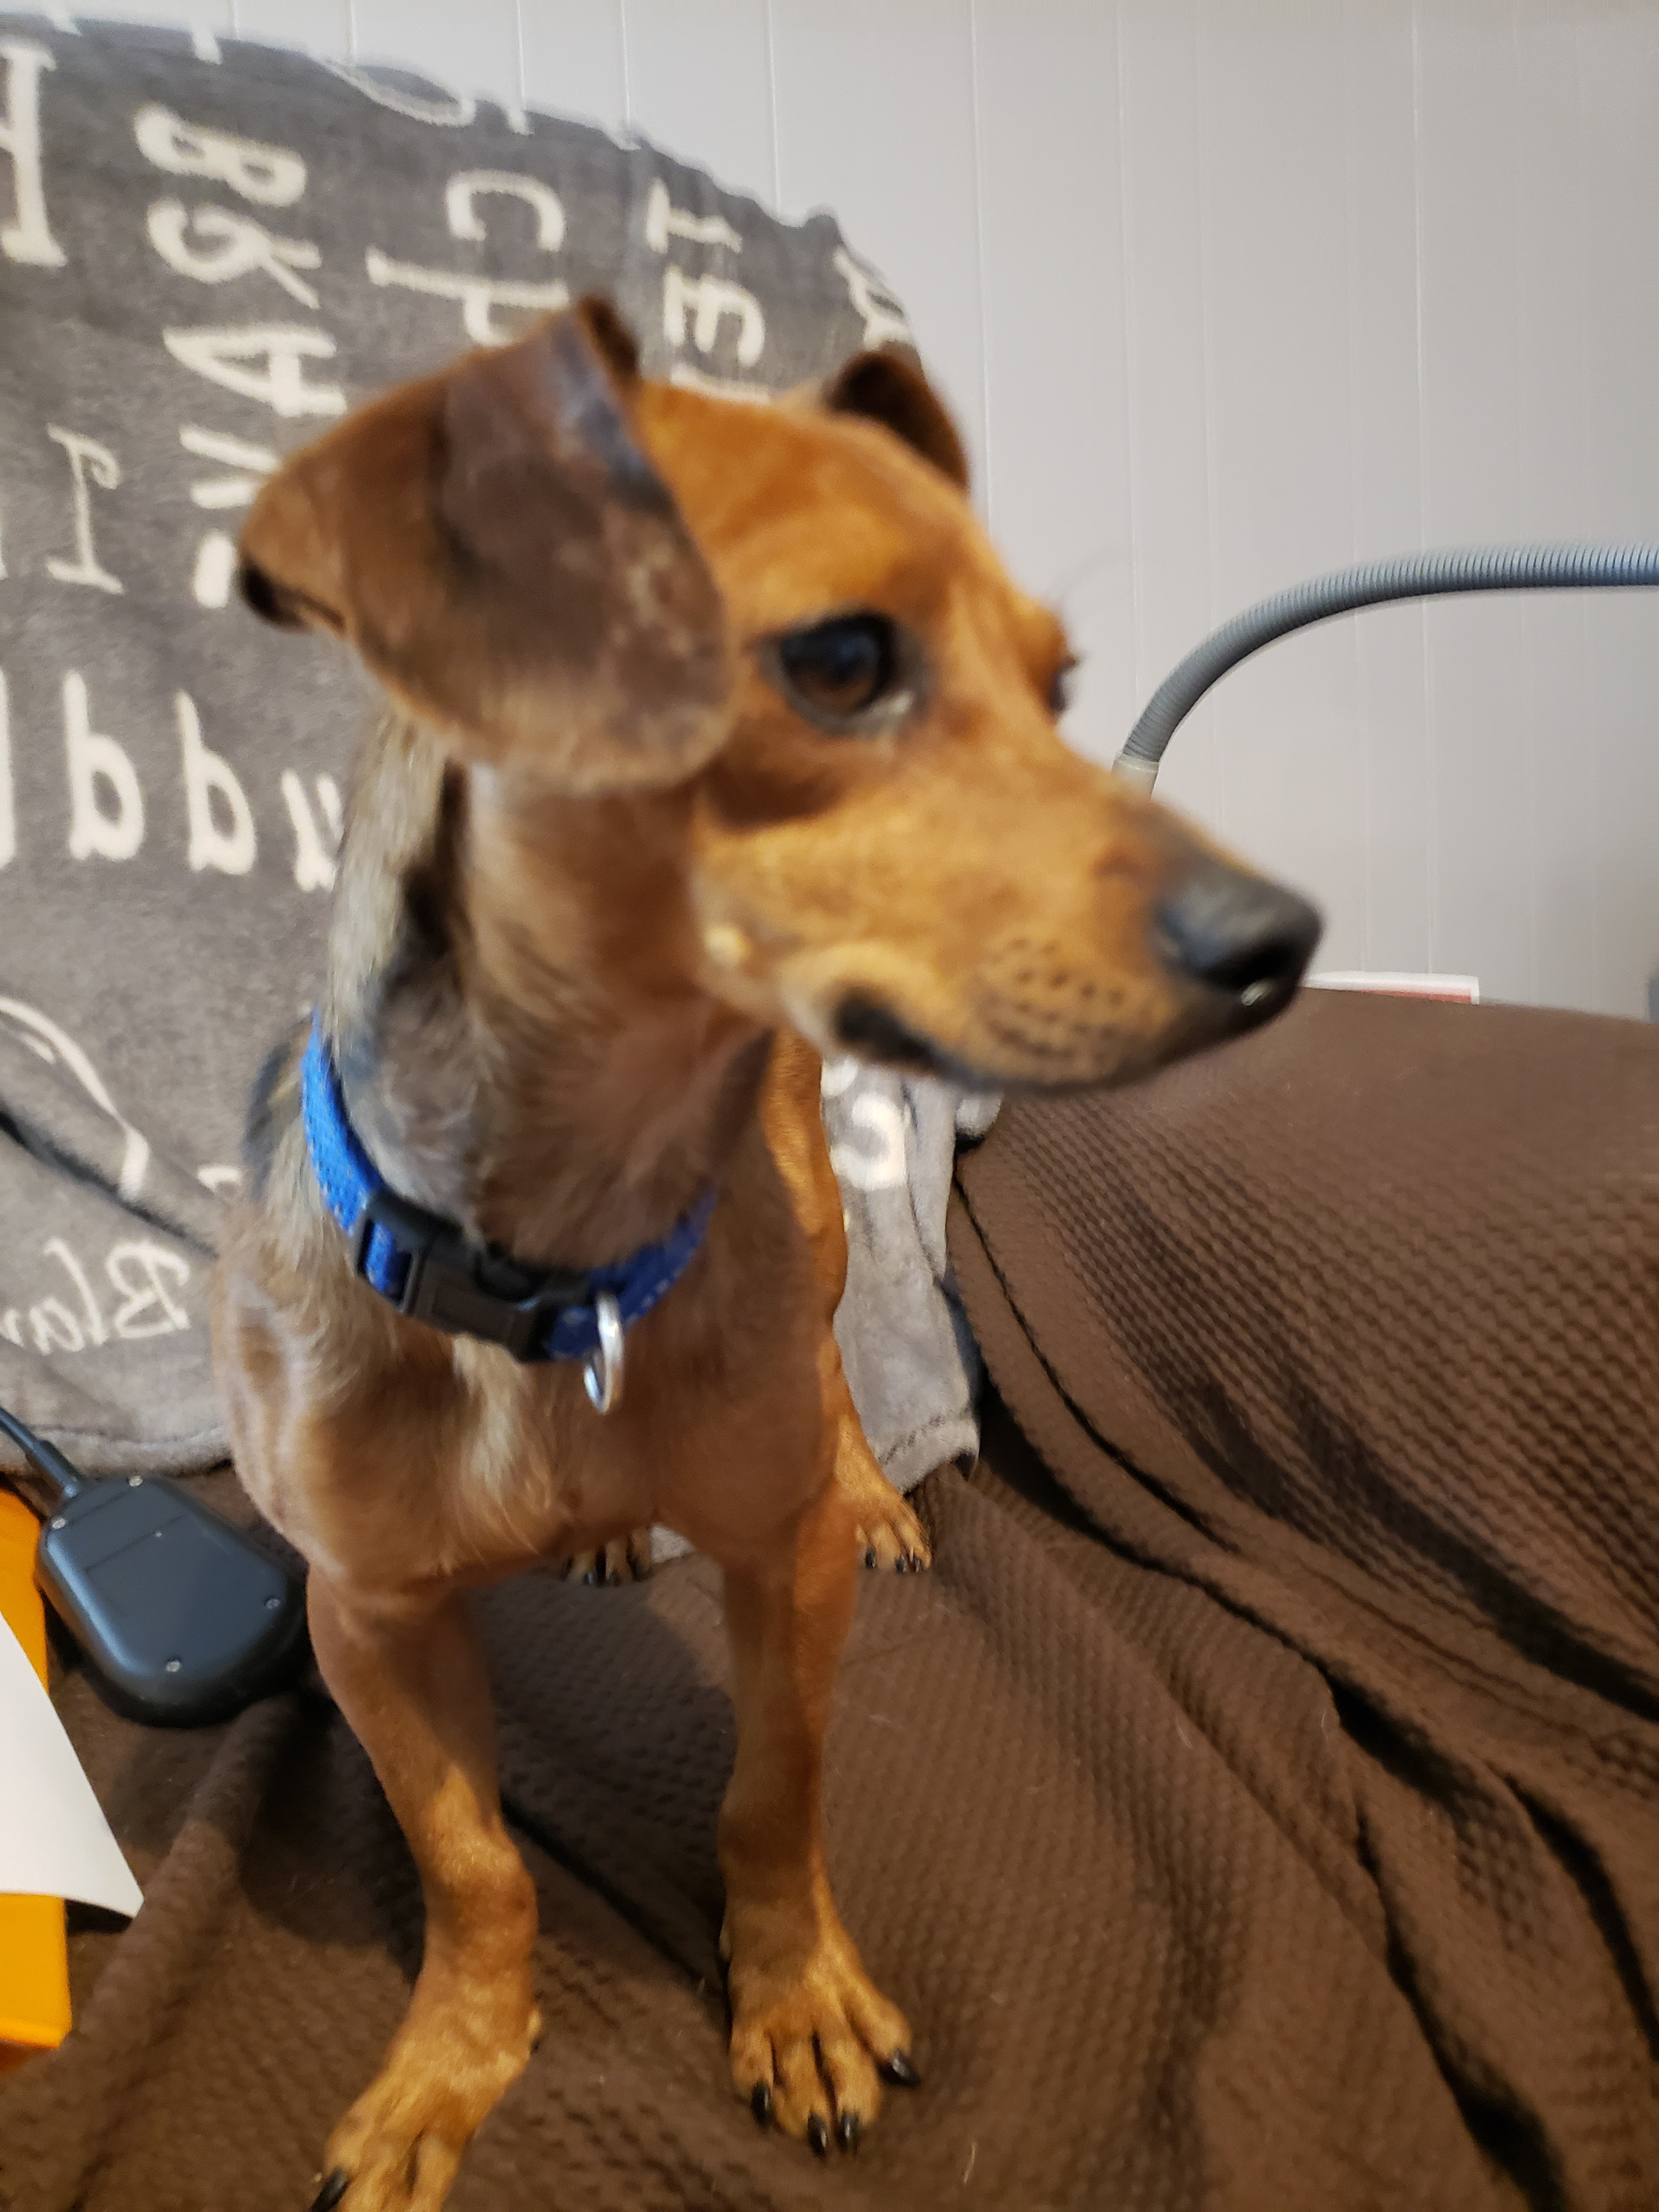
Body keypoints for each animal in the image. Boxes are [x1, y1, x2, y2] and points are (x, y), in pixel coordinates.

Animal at [211, 298, 1327, 2212]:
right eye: (841, 661)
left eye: (1061, 692)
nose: (1290, 941)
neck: (558, 1275)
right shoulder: (366, 1623)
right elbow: (474, 1866)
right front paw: (449, 2070)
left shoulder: (776, 1575)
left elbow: (774, 1789)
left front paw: (795, 2001)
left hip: (810, 1226)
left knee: (832, 1374)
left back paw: (871, 1488)